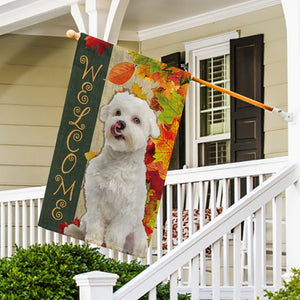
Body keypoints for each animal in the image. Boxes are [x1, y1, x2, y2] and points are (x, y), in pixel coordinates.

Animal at [64, 91, 161, 258]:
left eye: (137, 120)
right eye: (117, 112)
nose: (120, 123)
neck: (118, 161)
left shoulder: (127, 210)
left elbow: (117, 230)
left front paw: (113, 246)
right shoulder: (95, 197)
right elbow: (95, 222)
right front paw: (94, 239)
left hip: (138, 238)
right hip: (85, 218)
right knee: (83, 227)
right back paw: (74, 231)